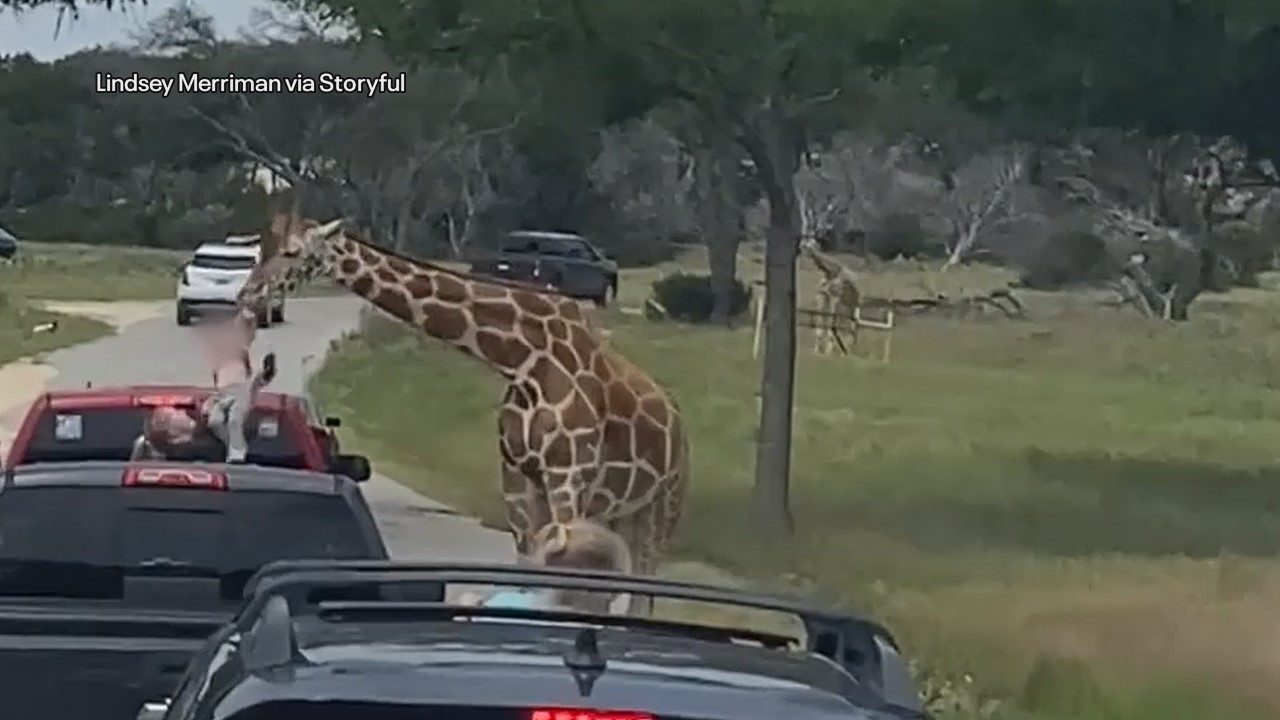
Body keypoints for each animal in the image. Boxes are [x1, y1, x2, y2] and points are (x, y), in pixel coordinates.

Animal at [244, 211, 689, 614]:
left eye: (292, 251)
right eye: (263, 247)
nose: (250, 292)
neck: (523, 360)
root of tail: (676, 419)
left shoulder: (567, 476)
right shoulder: (517, 477)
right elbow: (526, 565)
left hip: (662, 506)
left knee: (644, 589)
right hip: (621, 510)